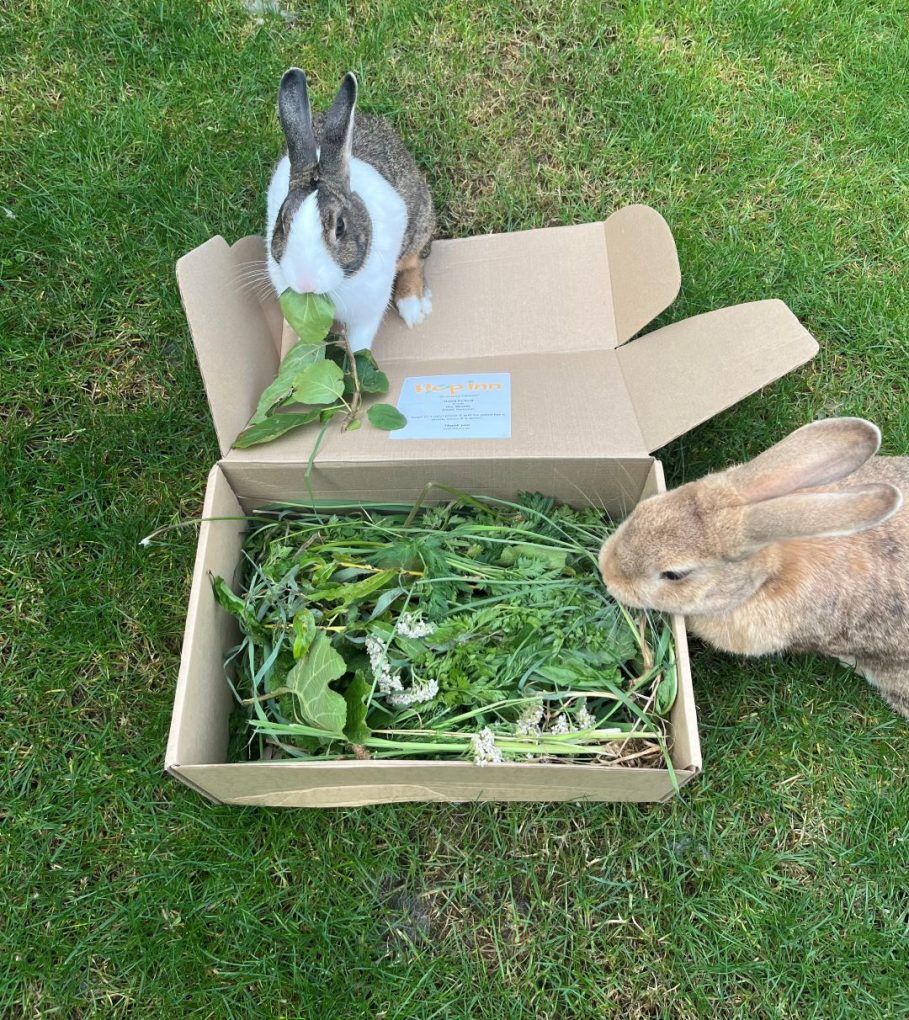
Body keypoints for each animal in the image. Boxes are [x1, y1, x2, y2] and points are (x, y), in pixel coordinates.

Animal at [266, 68, 435, 352]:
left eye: (340, 227)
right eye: (283, 222)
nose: (305, 283)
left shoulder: (368, 311)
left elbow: (359, 345)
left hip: (420, 224)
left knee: (416, 260)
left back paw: (412, 308)